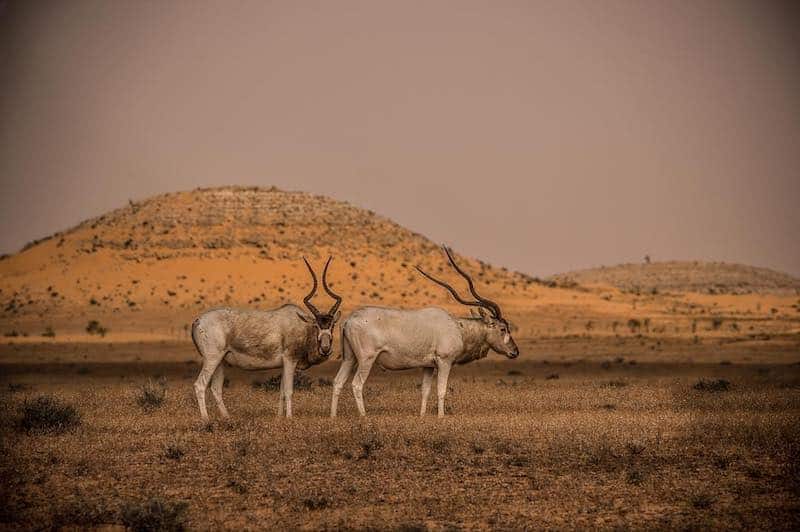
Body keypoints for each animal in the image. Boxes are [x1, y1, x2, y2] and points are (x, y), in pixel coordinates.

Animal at [194, 256, 344, 422]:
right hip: (212, 359)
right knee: (200, 385)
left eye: (332, 325)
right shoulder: (290, 360)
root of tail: (198, 321)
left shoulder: (285, 364)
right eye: (316, 325)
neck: (301, 325)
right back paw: (206, 419)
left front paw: (279, 417)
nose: (325, 348)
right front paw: (289, 418)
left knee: (215, 388)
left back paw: (227, 417)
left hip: (221, 362)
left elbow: (281, 392)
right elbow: (289, 391)